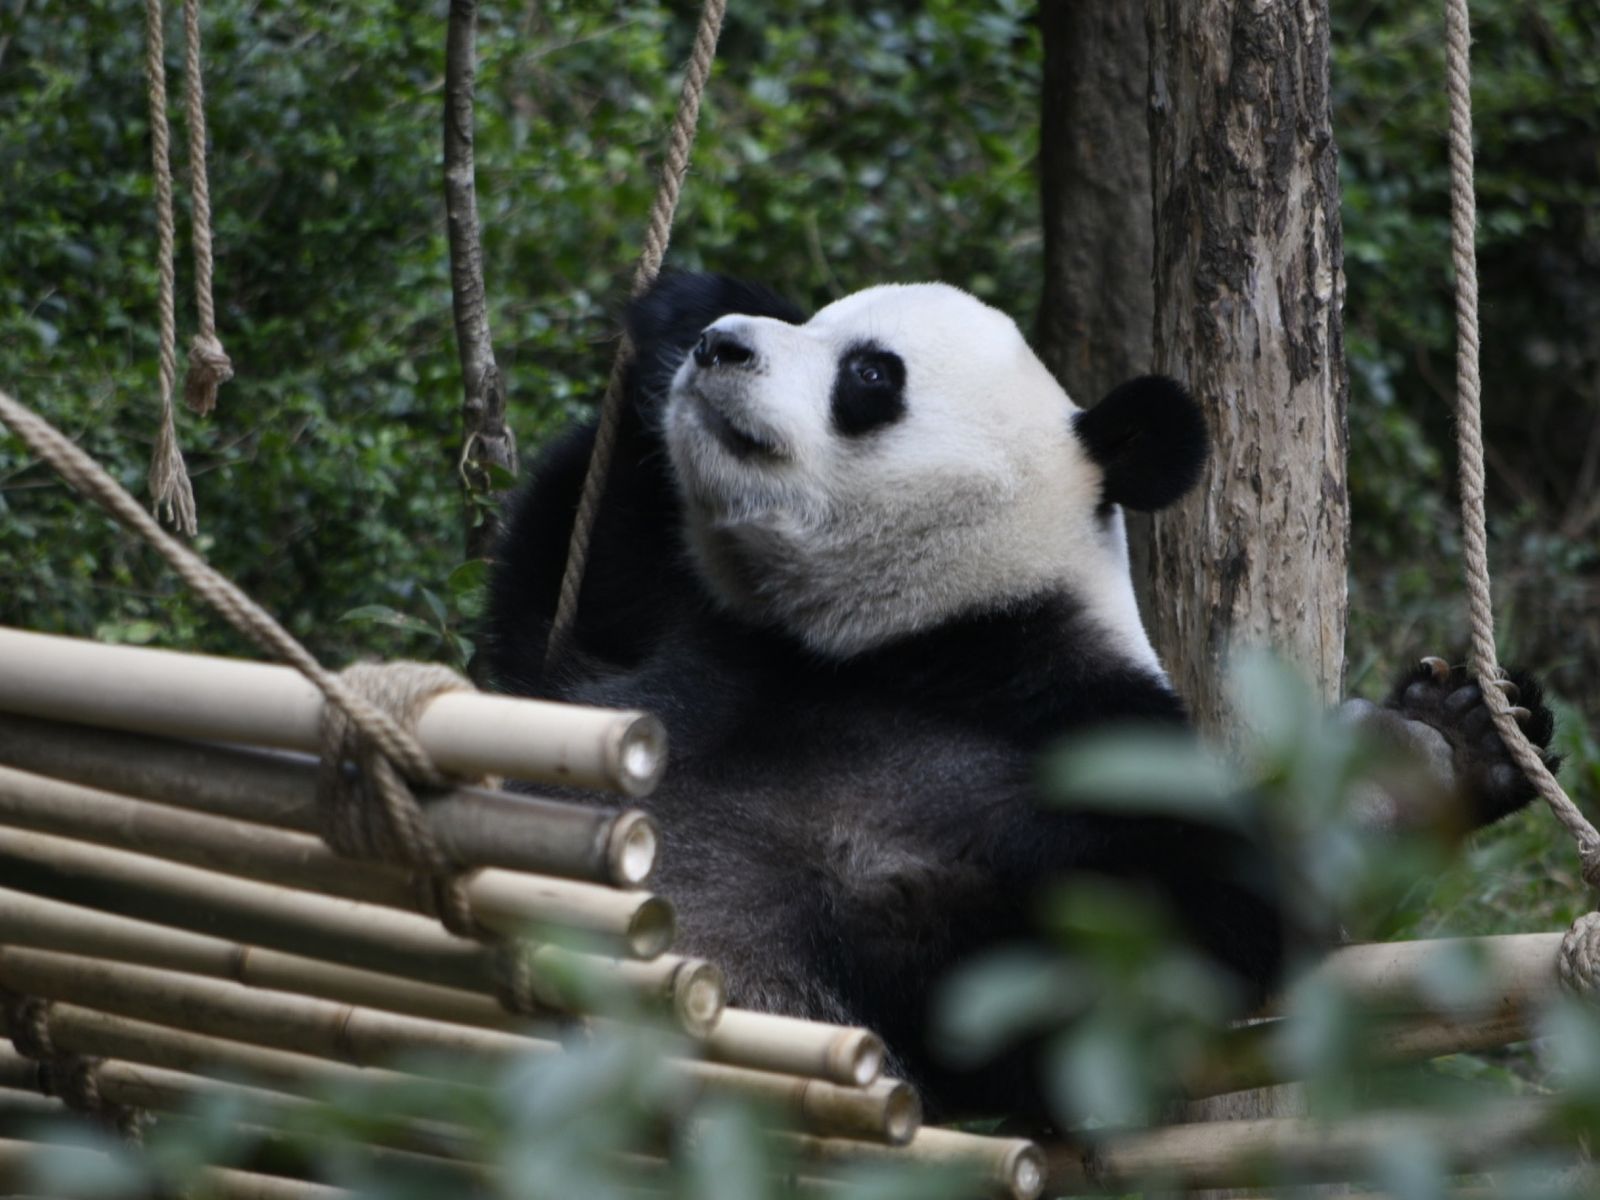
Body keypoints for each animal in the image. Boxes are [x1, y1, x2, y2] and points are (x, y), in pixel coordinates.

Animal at [486, 272, 1557, 1119]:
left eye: (869, 374)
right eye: (812, 325)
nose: (722, 348)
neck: (905, 645)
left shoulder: (1082, 741)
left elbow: (1106, 1001)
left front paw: (1429, 749)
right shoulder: (682, 630)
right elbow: (538, 638)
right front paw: (679, 310)